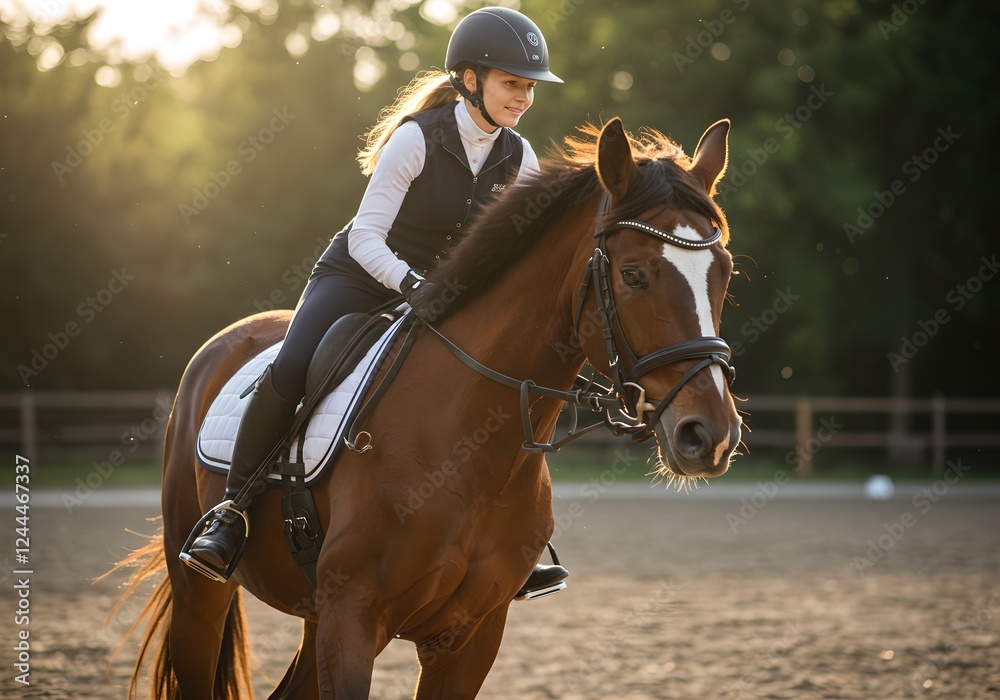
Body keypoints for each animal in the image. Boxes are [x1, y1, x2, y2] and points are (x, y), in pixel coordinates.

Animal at [110, 116, 742, 698]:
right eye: (633, 275)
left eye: (724, 273)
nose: (709, 435)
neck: (472, 446)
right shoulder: (353, 619)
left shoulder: (469, 635)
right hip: (201, 592)